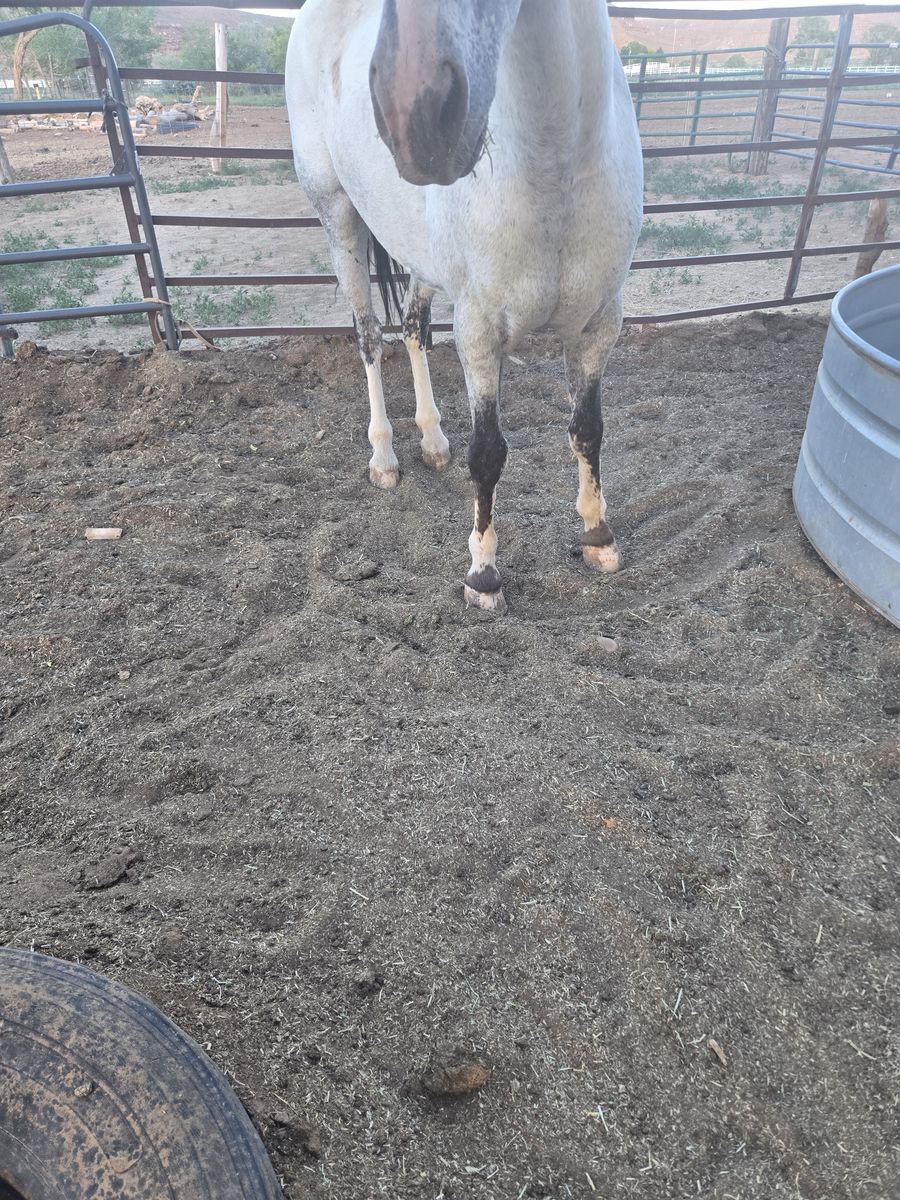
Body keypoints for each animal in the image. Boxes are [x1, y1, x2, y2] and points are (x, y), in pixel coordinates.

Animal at [286, 0, 643, 613]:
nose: (415, 112)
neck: (556, 163)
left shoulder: (599, 323)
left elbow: (588, 428)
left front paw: (598, 538)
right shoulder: (480, 331)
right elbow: (489, 452)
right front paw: (483, 573)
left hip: (421, 257)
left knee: (411, 330)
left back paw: (432, 442)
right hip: (338, 216)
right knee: (368, 337)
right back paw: (385, 459)